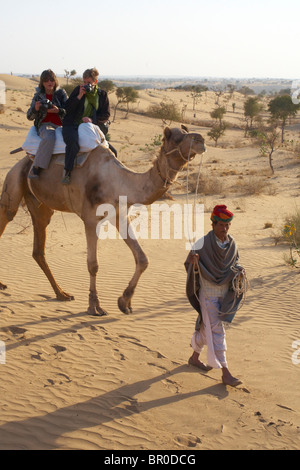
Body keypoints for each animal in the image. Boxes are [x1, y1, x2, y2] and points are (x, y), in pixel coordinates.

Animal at [0, 125, 205, 316]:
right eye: (176, 138)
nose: (201, 140)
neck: (120, 181)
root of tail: (24, 160)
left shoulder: (120, 215)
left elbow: (142, 259)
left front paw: (124, 302)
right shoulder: (90, 219)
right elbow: (93, 264)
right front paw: (94, 307)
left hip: (40, 205)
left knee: (38, 249)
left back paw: (61, 294)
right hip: (13, 181)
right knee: (8, 213)